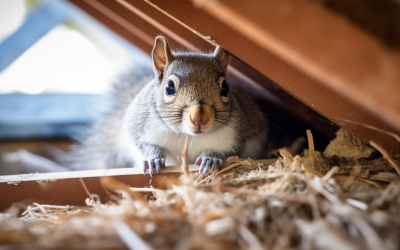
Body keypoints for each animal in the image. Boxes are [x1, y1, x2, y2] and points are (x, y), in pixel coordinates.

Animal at [70, 35, 268, 176]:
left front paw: (211, 159)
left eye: (225, 88)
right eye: (169, 87)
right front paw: (153, 159)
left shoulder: (235, 136)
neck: (188, 136)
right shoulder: (138, 123)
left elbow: (230, 151)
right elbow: (143, 142)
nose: (200, 118)